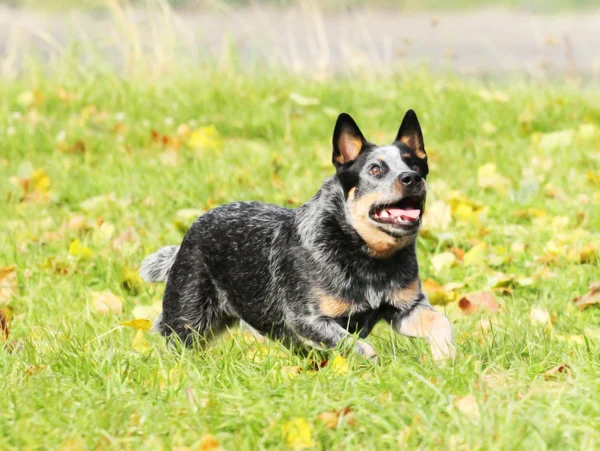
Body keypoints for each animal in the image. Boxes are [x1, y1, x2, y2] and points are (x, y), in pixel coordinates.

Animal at [141, 111, 458, 362]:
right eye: (375, 169)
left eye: (415, 165)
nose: (412, 179)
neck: (366, 256)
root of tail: (188, 236)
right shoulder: (307, 317)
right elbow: (356, 345)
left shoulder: (406, 307)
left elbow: (441, 321)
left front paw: (444, 357)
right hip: (188, 320)